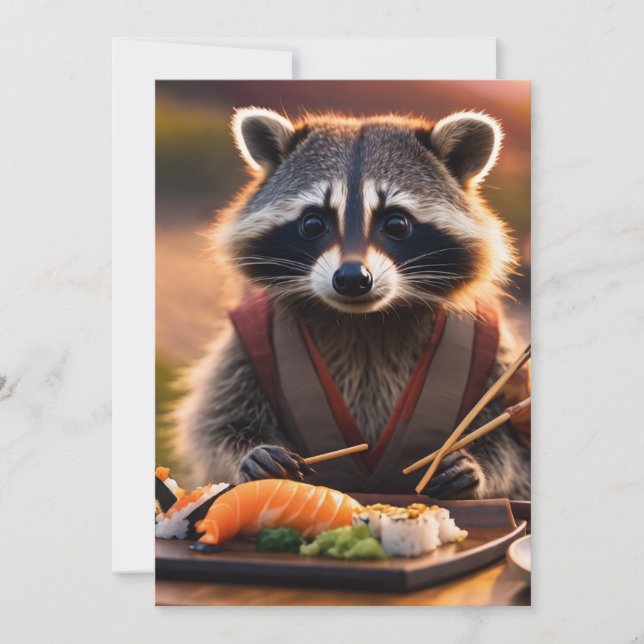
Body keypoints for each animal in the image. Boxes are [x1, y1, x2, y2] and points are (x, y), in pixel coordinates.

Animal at [175, 107, 530, 500]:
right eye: (313, 223)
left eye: (396, 223)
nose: (351, 279)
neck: (362, 320)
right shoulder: (247, 343)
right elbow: (218, 421)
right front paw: (250, 453)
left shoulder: (497, 355)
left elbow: (511, 442)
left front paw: (477, 466)